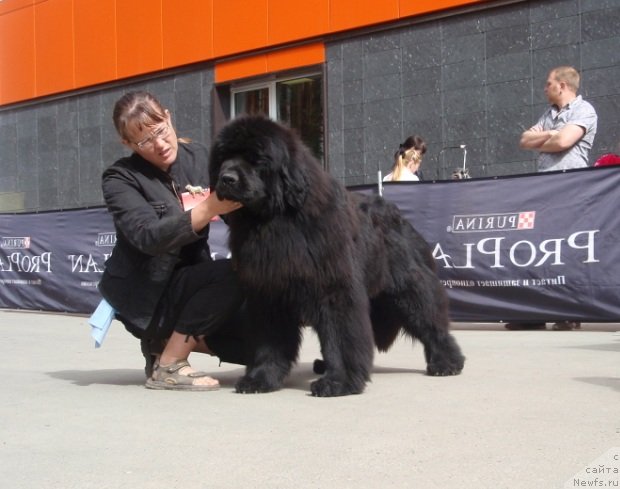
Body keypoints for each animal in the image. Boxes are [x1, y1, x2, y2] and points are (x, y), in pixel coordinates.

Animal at [209, 115, 464, 396]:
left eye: (256, 158)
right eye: (222, 157)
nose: (226, 178)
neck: (276, 220)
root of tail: (397, 214)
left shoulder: (335, 288)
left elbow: (340, 335)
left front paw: (338, 382)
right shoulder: (268, 292)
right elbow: (270, 340)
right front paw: (261, 378)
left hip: (408, 287)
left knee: (430, 320)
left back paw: (447, 362)